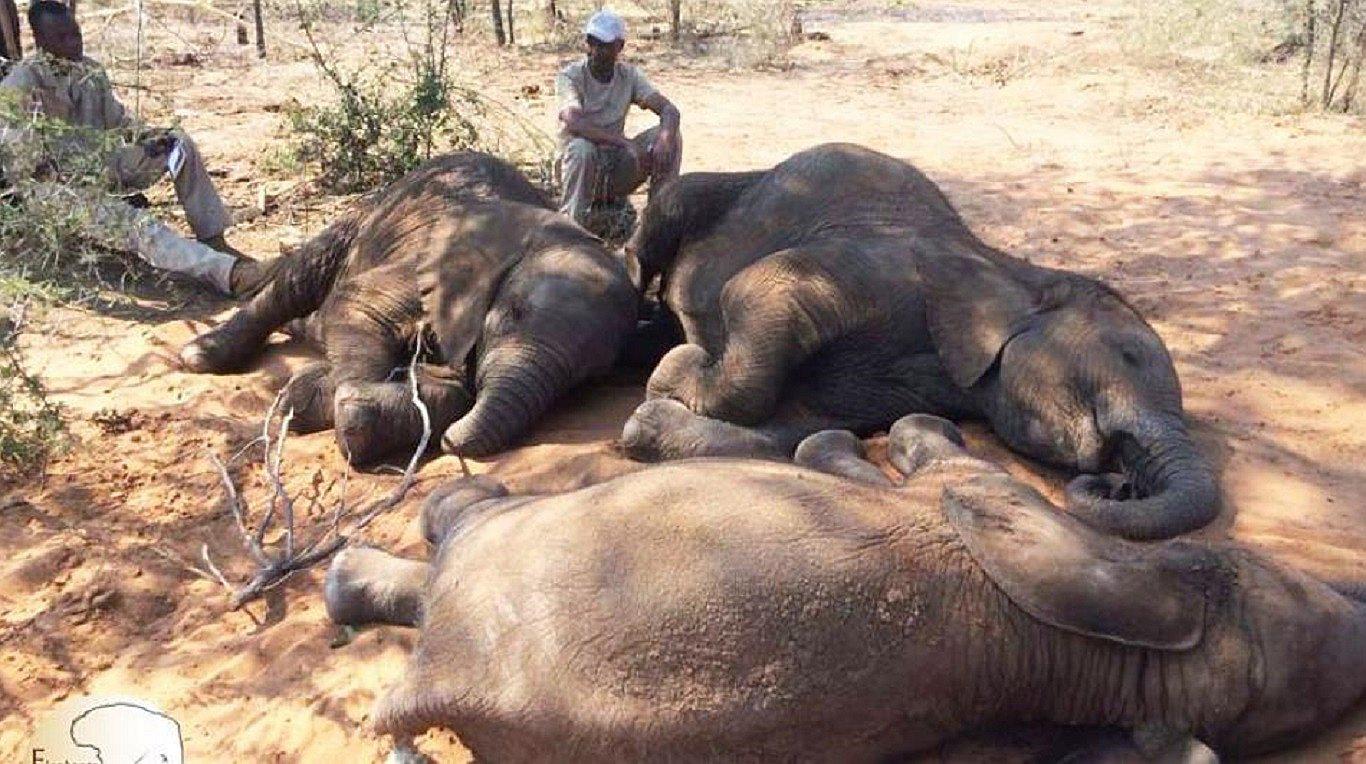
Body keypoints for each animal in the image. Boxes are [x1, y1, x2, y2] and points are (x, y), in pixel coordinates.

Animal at [179, 152, 637, 464]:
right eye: (513, 315)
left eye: (585, 380)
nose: (451, 442)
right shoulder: (423, 266)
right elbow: (359, 305)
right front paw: (333, 406)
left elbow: (454, 390)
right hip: (364, 218)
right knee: (300, 279)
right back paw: (201, 355)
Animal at [324, 415, 1366, 762]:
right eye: (1265, 571)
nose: (1103, 469)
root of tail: (429, 689)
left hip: (496, 554)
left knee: (459, 516)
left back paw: (349, 578)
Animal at [619, 142, 1219, 540]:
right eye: (1129, 356)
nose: (1118, 485)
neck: (1012, 272)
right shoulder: (885, 268)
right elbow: (759, 288)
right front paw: (675, 370)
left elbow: (798, 421)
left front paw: (653, 416)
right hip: (708, 192)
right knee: (664, 218)